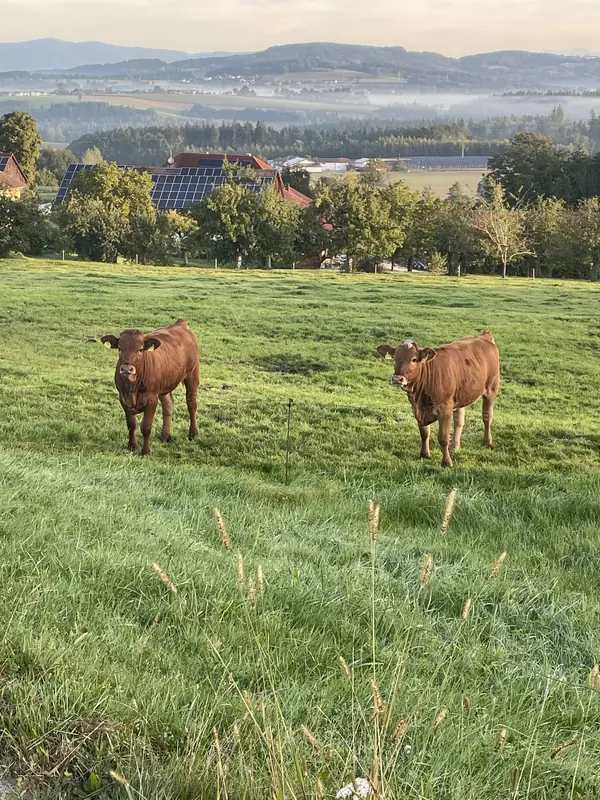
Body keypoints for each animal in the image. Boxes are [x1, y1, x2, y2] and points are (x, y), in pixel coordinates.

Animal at [101, 320, 200, 456]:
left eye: (140, 349)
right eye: (120, 349)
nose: (127, 369)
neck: (133, 387)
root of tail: (180, 323)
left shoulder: (151, 398)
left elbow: (146, 427)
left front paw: (146, 451)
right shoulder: (123, 397)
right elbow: (131, 424)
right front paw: (132, 445)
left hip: (192, 375)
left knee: (192, 404)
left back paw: (193, 434)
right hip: (164, 385)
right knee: (168, 404)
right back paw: (165, 436)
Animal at [377, 332, 500, 468]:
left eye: (414, 359)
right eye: (394, 358)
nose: (397, 378)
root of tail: (484, 335)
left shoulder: (445, 409)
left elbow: (443, 438)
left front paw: (446, 462)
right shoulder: (417, 409)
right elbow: (424, 433)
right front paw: (425, 454)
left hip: (491, 389)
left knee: (487, 417)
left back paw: (487, 442)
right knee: (459, 421)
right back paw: (455, 446)